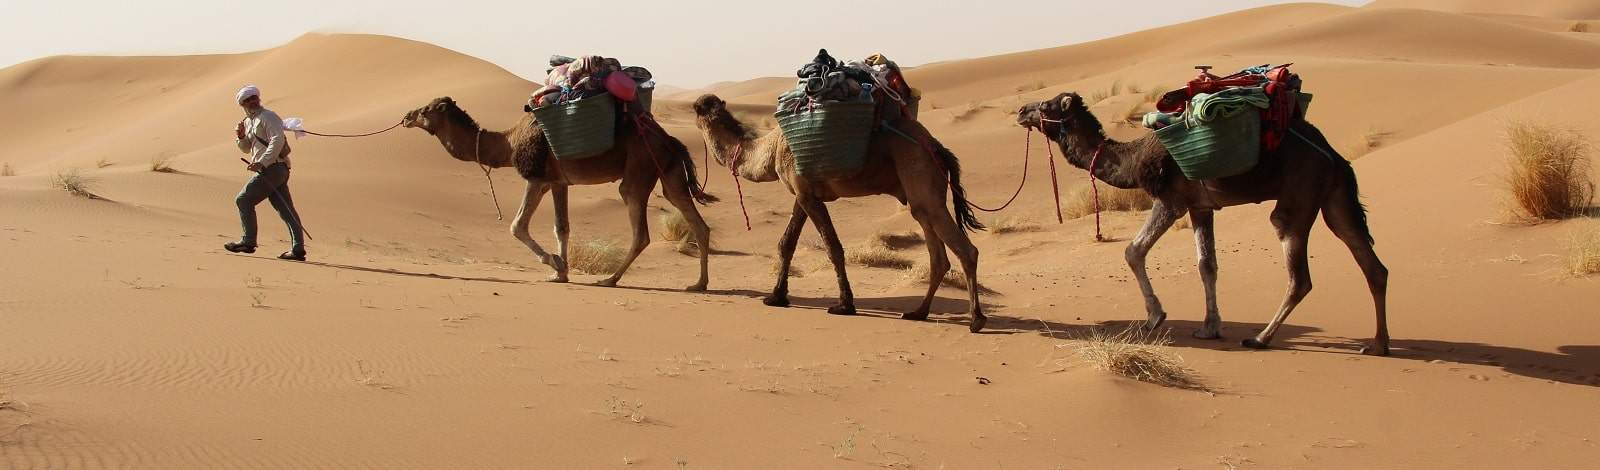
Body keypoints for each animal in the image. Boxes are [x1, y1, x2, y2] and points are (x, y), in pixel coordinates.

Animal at [403, 96, 716, 289]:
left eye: (426, 110)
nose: (407, 116)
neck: (508, 143)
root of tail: (670, 139)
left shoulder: (536, 177)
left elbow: (517, 226)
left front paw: (553, 262)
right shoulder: (557, 182)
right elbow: (561, 227)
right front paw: (560, 272)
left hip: (638, 170)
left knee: (640, 229)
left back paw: (610, 280)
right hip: (668, 172)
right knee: (695, 219)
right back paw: (699, 284)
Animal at [691, 93, 985, 332]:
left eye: (698, 109)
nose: (699, 107)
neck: (771, 149)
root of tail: (937, 147)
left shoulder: (807, 194)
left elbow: (832, 247)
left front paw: (845, 305)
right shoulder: (803, 194)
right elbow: (787, 243)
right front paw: (777, 296)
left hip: (922, 178)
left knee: (966, 250)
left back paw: (976, 320)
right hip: (921, 197)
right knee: (938, 255)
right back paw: (918, 312)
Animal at [1024, 91, 1388, 354]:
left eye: (1047, 103)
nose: (1021, 111)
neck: (1133, 158)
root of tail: (1334, 155)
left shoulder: (1171, 201)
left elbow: (1133, 251)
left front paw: (1154, 317)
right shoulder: (1201, 207)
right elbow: (1207, 264)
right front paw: (1210, 328)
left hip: (1299, 195)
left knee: (1299, 274)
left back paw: (1260, 339)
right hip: (1335, 198)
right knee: (1372, 265)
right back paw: (1378, 344)